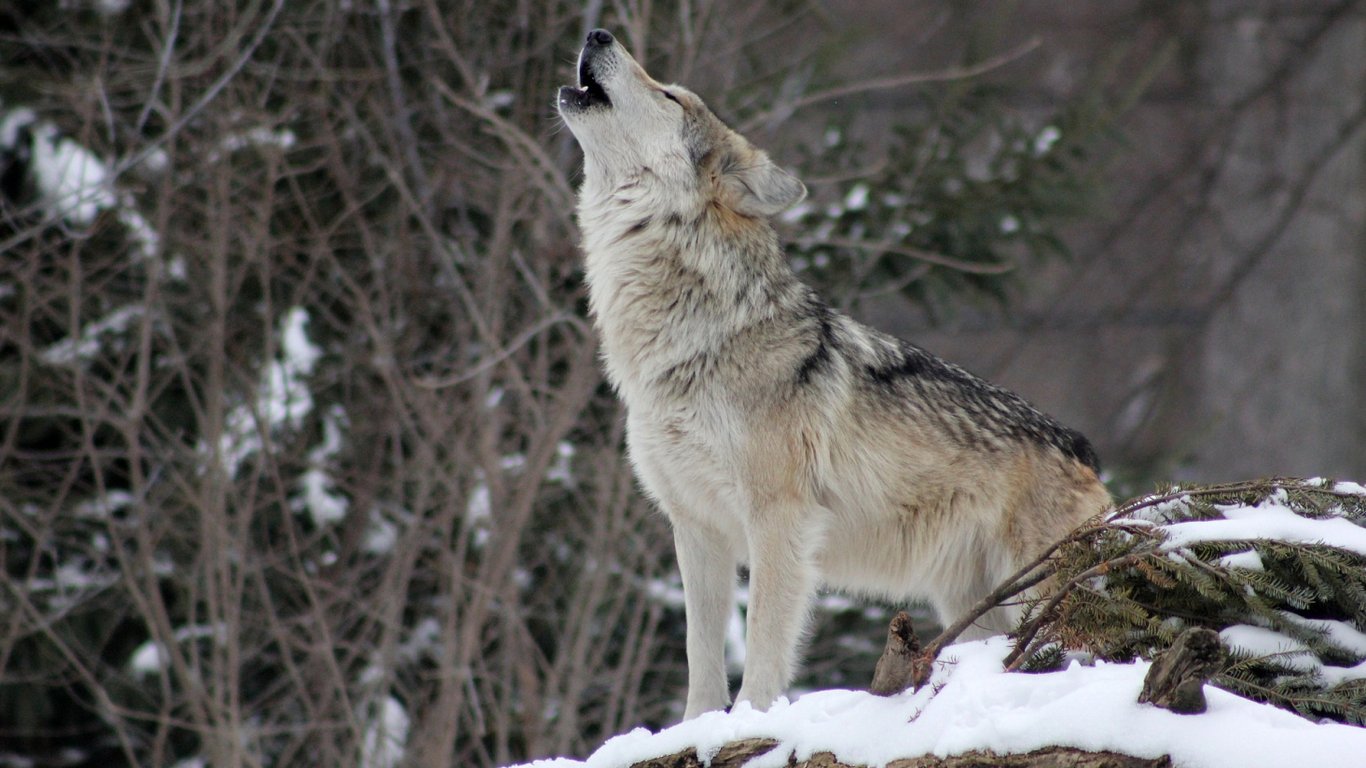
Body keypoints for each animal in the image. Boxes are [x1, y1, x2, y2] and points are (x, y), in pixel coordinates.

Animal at [554, 25, 1109, 716]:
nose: (597, 31)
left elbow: (763, 647)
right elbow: (700, 657)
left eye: (670, 95)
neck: (691, 343)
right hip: (974, 607)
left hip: (1034, 590)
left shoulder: (779, 521)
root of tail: (1084, 449)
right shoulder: (696, 528)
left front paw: (750, 721)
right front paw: (698, 727)